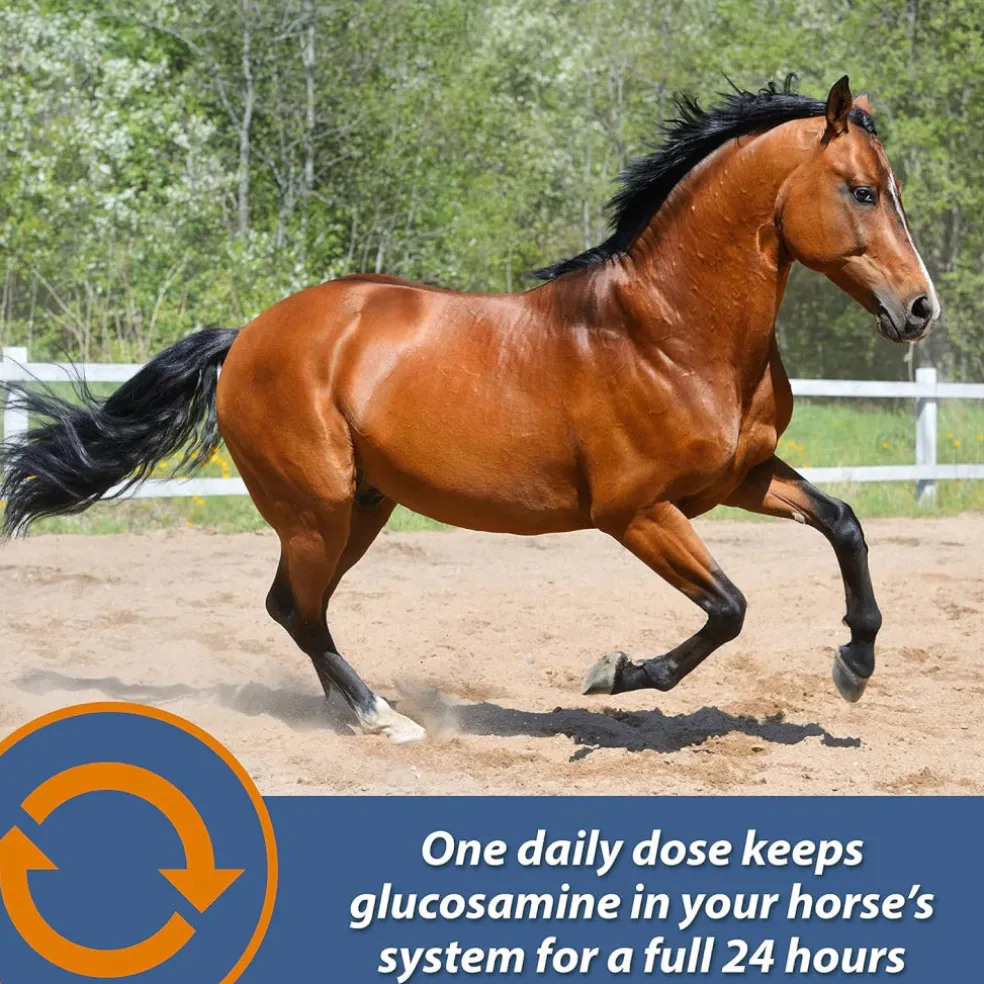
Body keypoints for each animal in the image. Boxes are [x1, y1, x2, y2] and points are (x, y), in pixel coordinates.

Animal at [0, 76, 939, 743]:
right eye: (862, 191)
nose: (920, 308)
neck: (669, 333)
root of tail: (250, 336)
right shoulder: (637, 512)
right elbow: (730, 608)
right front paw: (613, 673)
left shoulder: (736, 481)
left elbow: (845, 524)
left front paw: (855, 663)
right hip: (318, 508)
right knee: (298, 610)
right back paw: (382, 719)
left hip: (362, 507)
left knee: (293, 608)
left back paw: (359, 712)